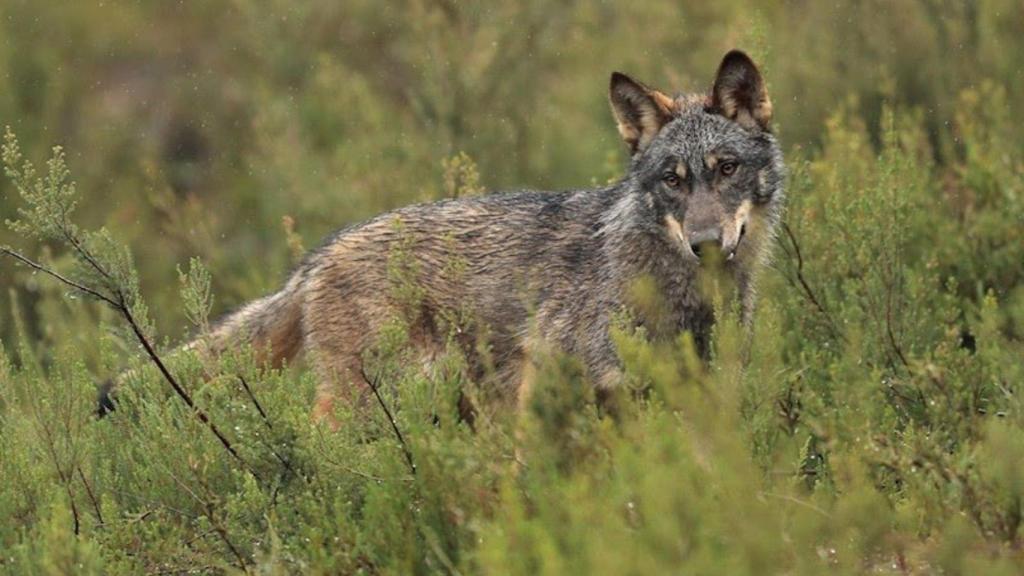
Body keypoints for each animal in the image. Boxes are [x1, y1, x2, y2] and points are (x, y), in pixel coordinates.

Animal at [99, 50, 784, 420]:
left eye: (726, 169)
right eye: (672, 180)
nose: (705, 244)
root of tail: (315, 258)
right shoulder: (555, 382)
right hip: (372, 402)